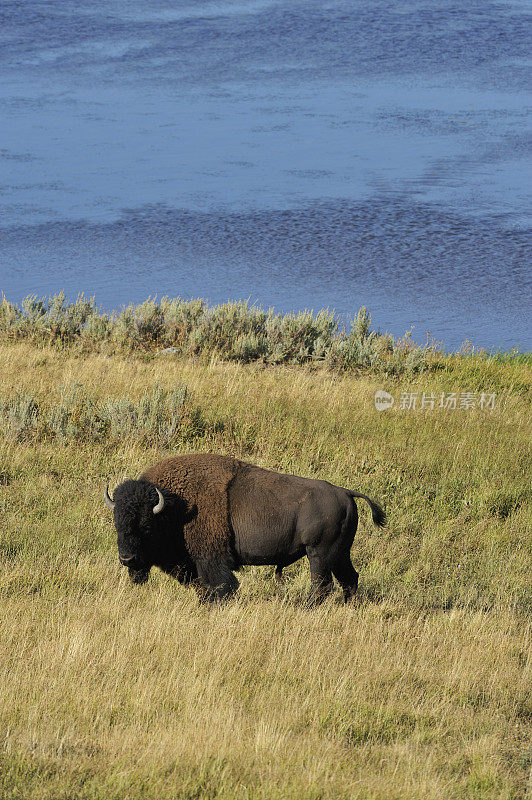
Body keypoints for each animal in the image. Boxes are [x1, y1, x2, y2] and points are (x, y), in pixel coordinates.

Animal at [104, 454, 386, 604]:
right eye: (117, 523)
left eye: (145, 526)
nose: (127, 559)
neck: (176, 507)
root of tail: (346, 493)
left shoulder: (210, 560)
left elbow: (221, 586)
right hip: (339, 554)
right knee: (349, 578)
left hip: (318, 554)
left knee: (322, 585)